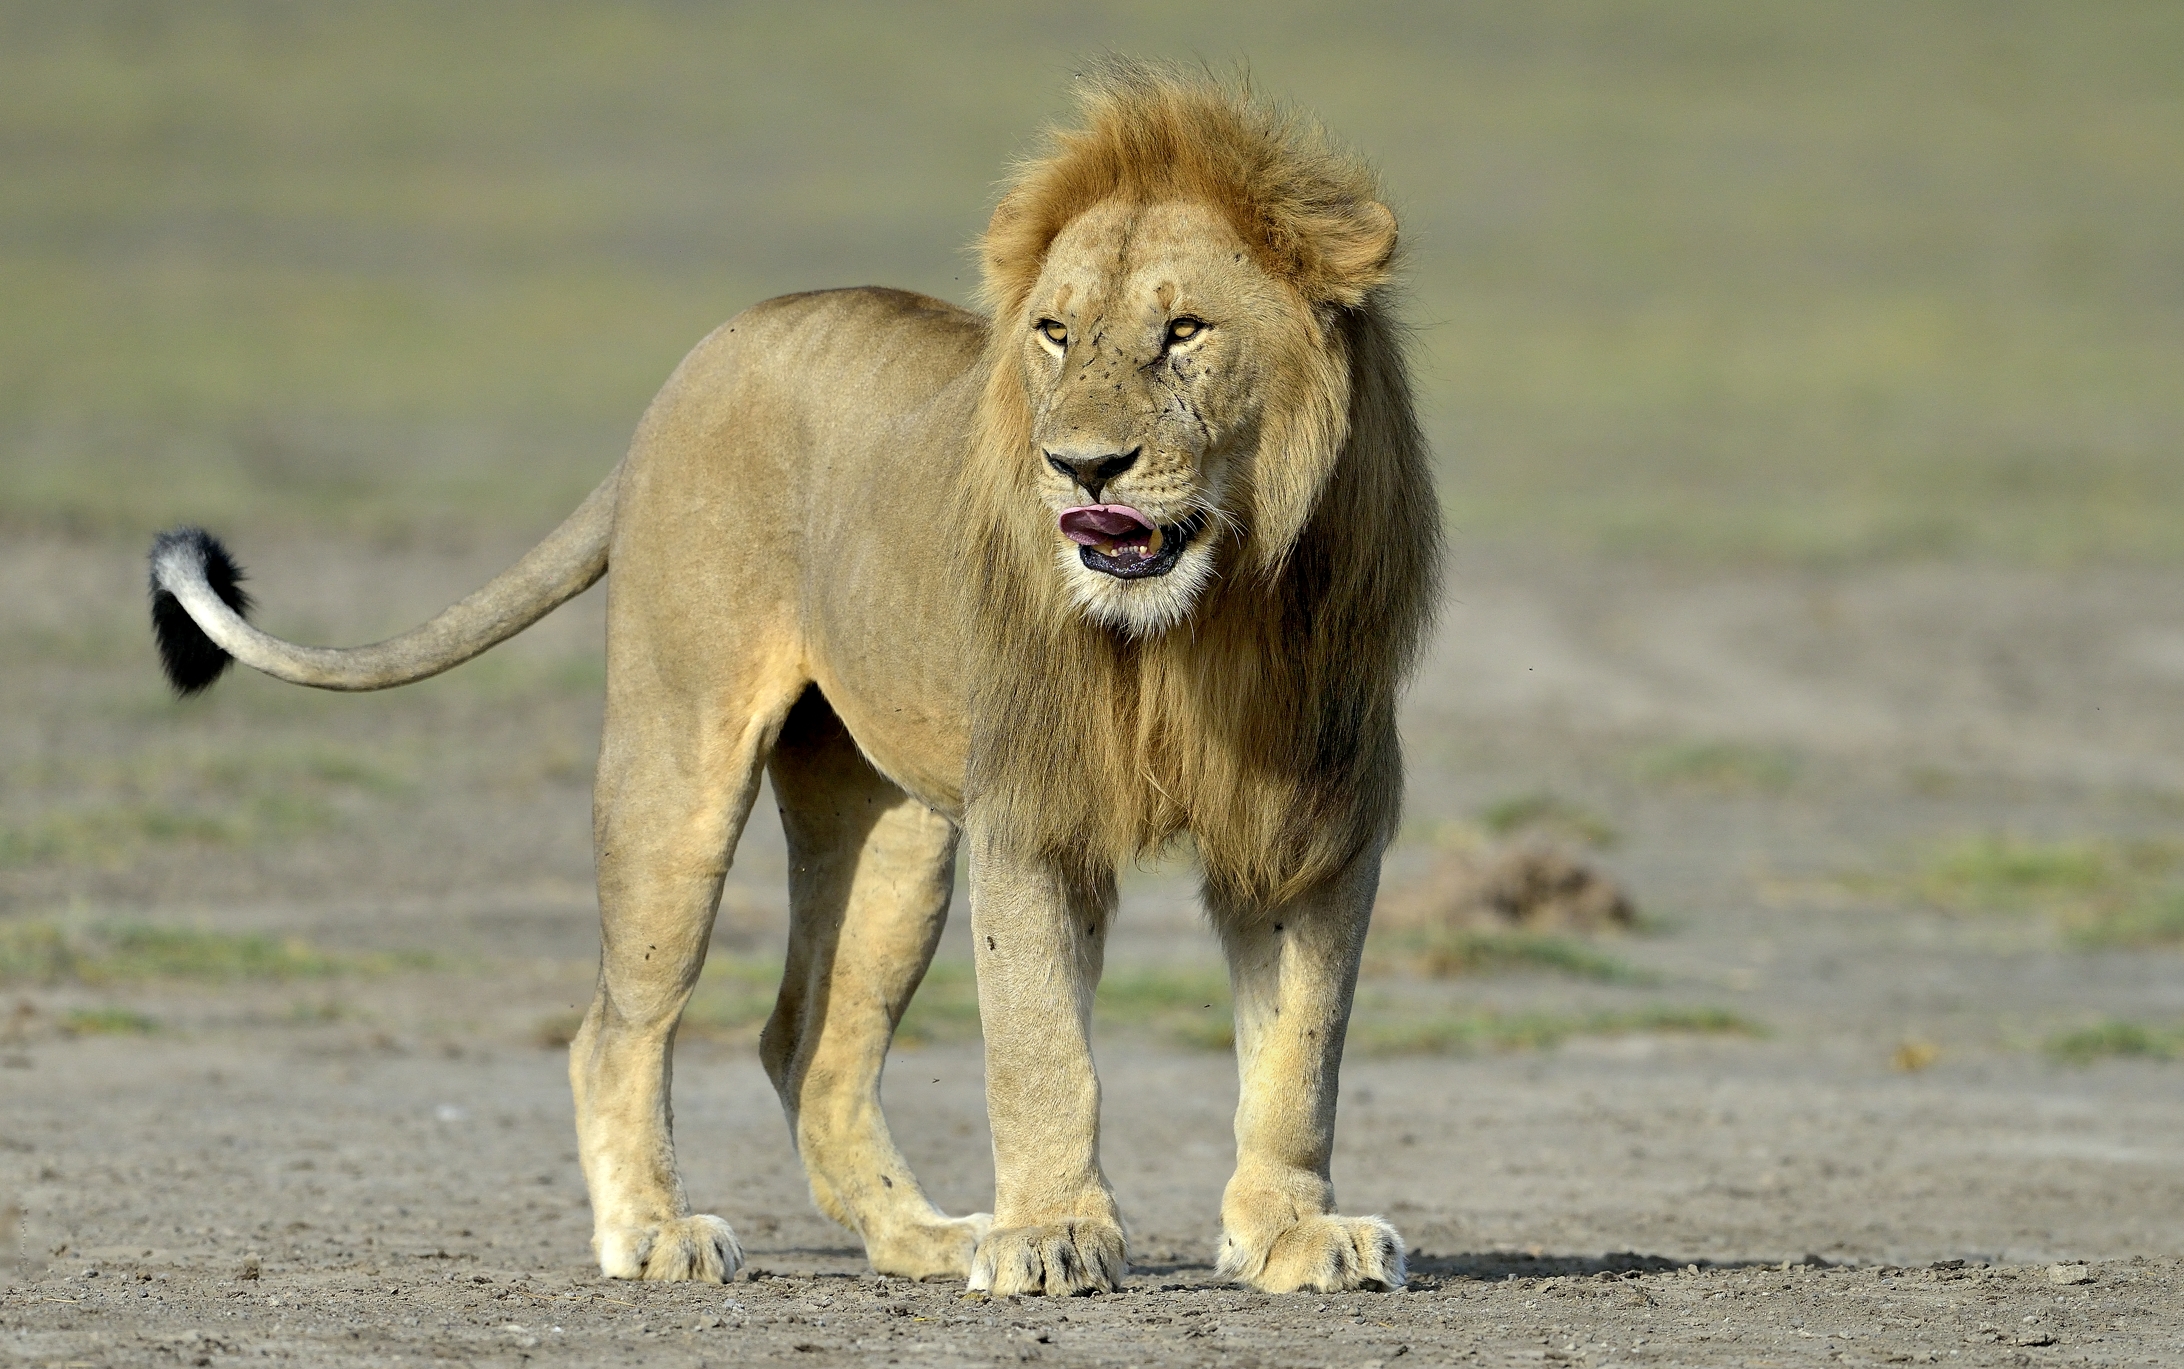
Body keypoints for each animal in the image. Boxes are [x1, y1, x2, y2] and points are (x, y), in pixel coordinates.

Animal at [147, 62, 1440, 1297]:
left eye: (1184, 332)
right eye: (1056, 333)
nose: (1080, 466)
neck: (1204, 622)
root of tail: (694, 365)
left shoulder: (1313, 829)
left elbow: (1300, 1060)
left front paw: (1292, 1233)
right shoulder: (1034, 813)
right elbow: (1042, 1051)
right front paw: (1052, 1238)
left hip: (893, 832)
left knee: (807, 1042)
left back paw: (925, 1235)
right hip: (678, 761)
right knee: (617, 1025)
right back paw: (657, 1231)